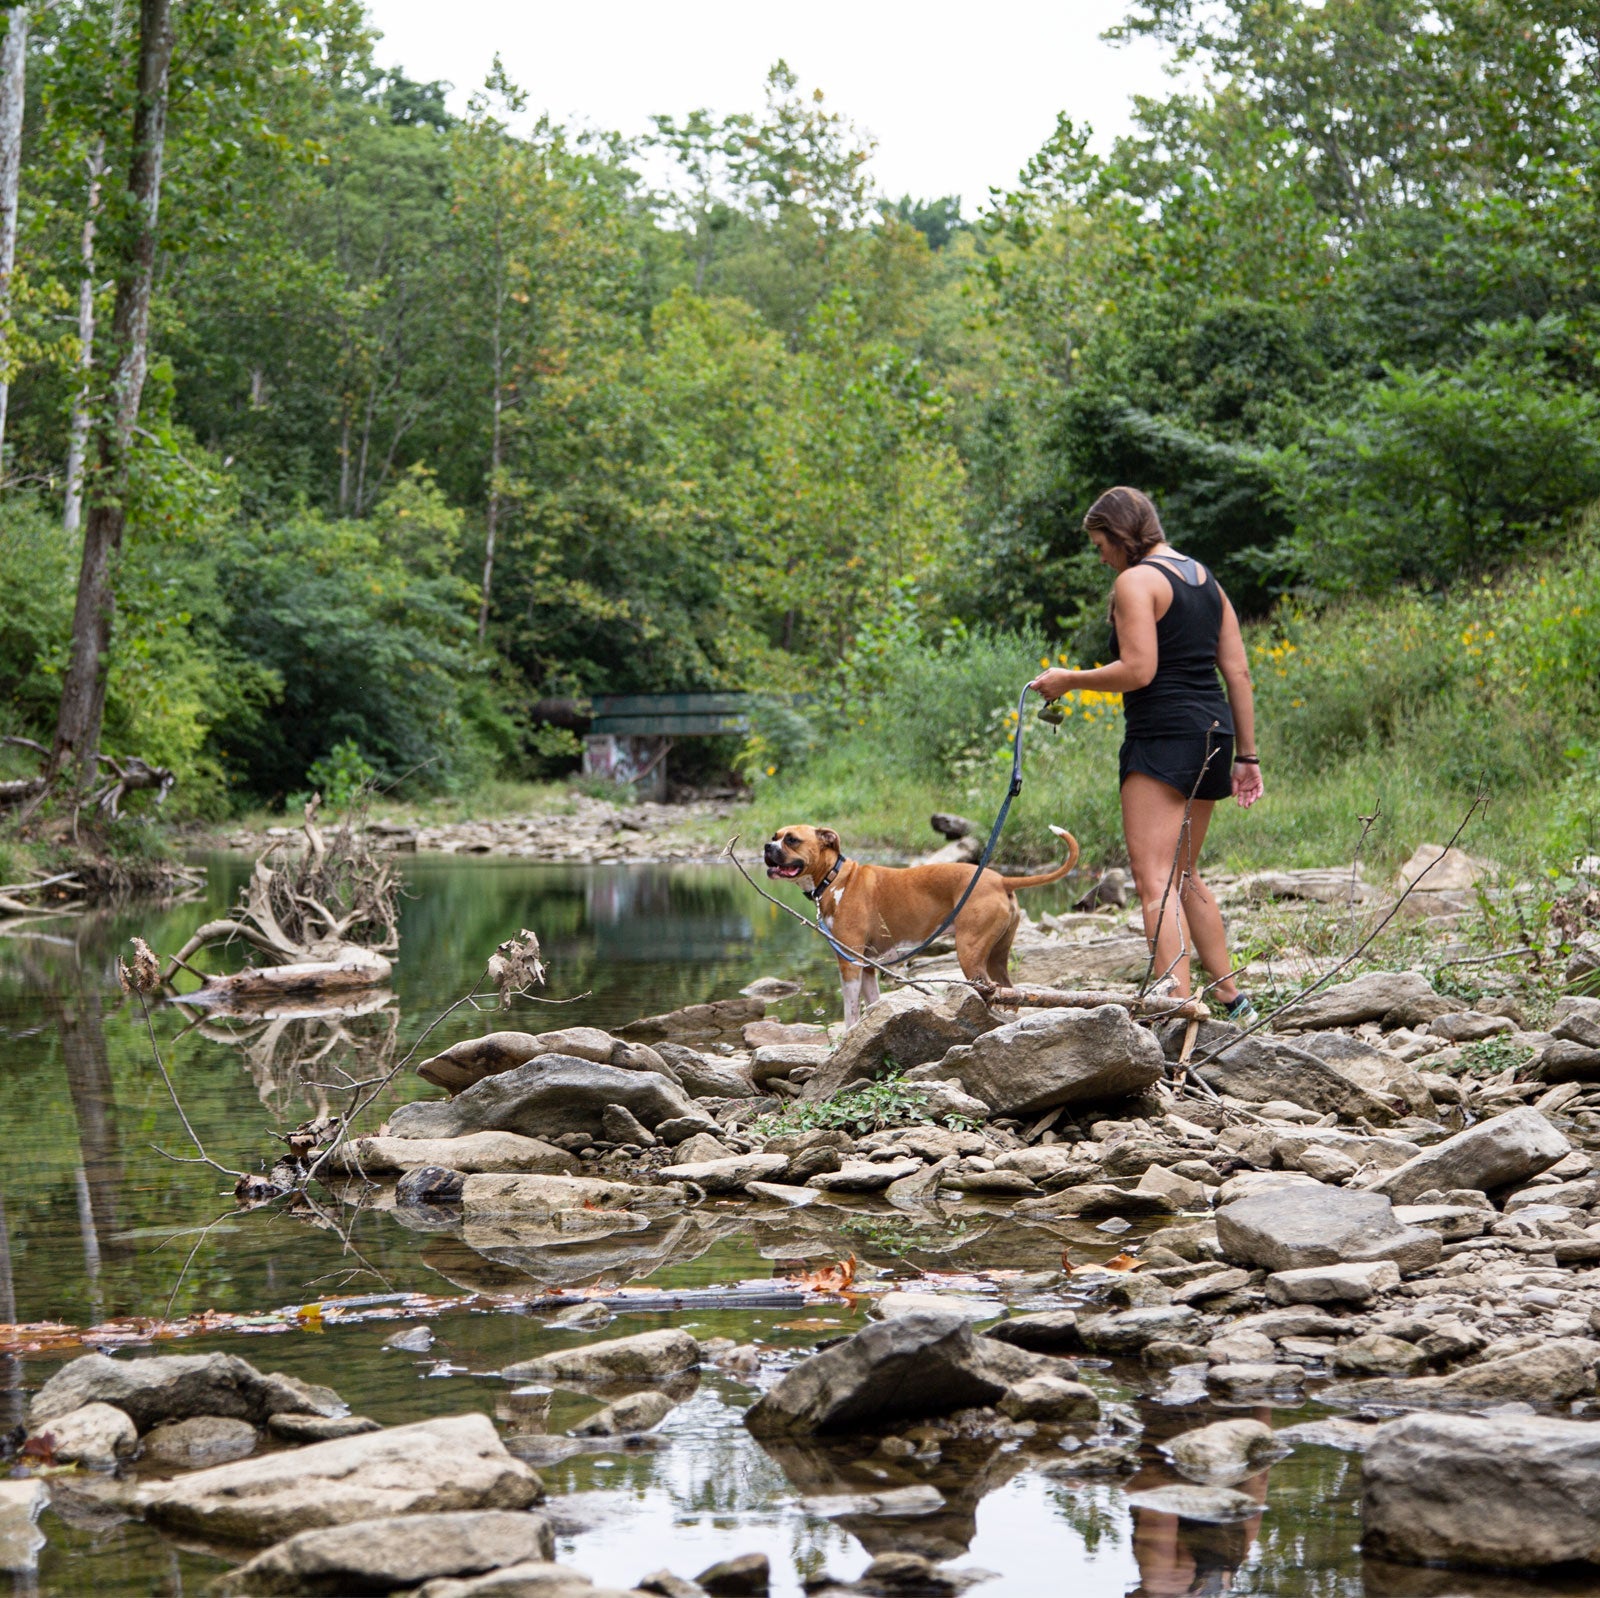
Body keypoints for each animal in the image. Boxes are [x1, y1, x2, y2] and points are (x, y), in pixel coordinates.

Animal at [768, 825, 1081, 1023]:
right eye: (775, 836)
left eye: (792, 840)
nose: (767, 846)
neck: (836, 878)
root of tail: (1001, 879)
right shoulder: (867, 967)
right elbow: (873, 1002)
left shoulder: (850, 964)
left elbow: (851, 1012)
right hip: (996, 956)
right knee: (1010, 993)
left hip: (970, 953)